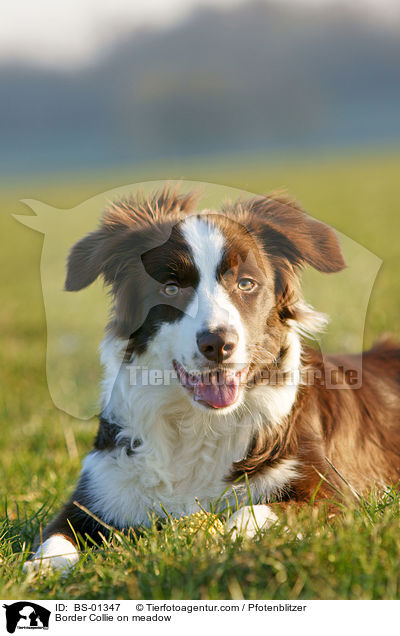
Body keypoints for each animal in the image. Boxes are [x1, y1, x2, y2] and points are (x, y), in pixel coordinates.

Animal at [24, 188, 400, 572]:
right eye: (171, 288)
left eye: (246, 284)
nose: (218, 344)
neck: (200, 423)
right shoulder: (96, 493)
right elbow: (54, 538)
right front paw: (41, 570)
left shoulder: (334, 495)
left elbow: (251, 512)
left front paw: (221, 539)